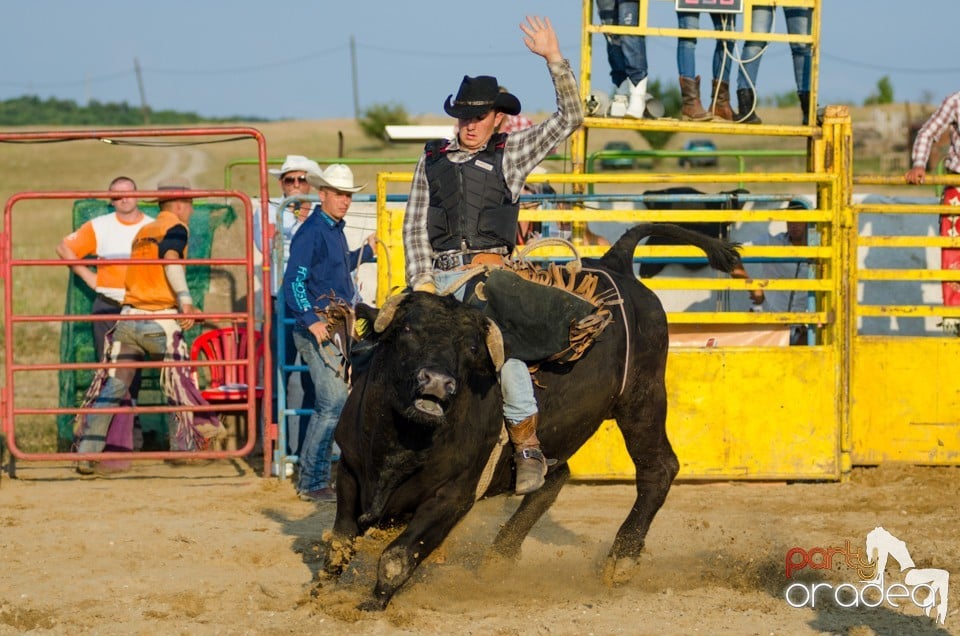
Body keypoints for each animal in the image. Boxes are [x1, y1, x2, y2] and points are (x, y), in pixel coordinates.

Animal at [322, 221, 744, 608]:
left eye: (470, 348)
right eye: (406, 330)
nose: (438, 382)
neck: (402, 441)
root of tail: (617, 264)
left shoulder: (453, 496)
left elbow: (396, 557)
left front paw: (370, 605)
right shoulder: (349, 470)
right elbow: (338, 542)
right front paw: (319, 593)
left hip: (642, 399)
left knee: (657, 469)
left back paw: (621, 559)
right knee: (553, 477)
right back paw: (498, 558)